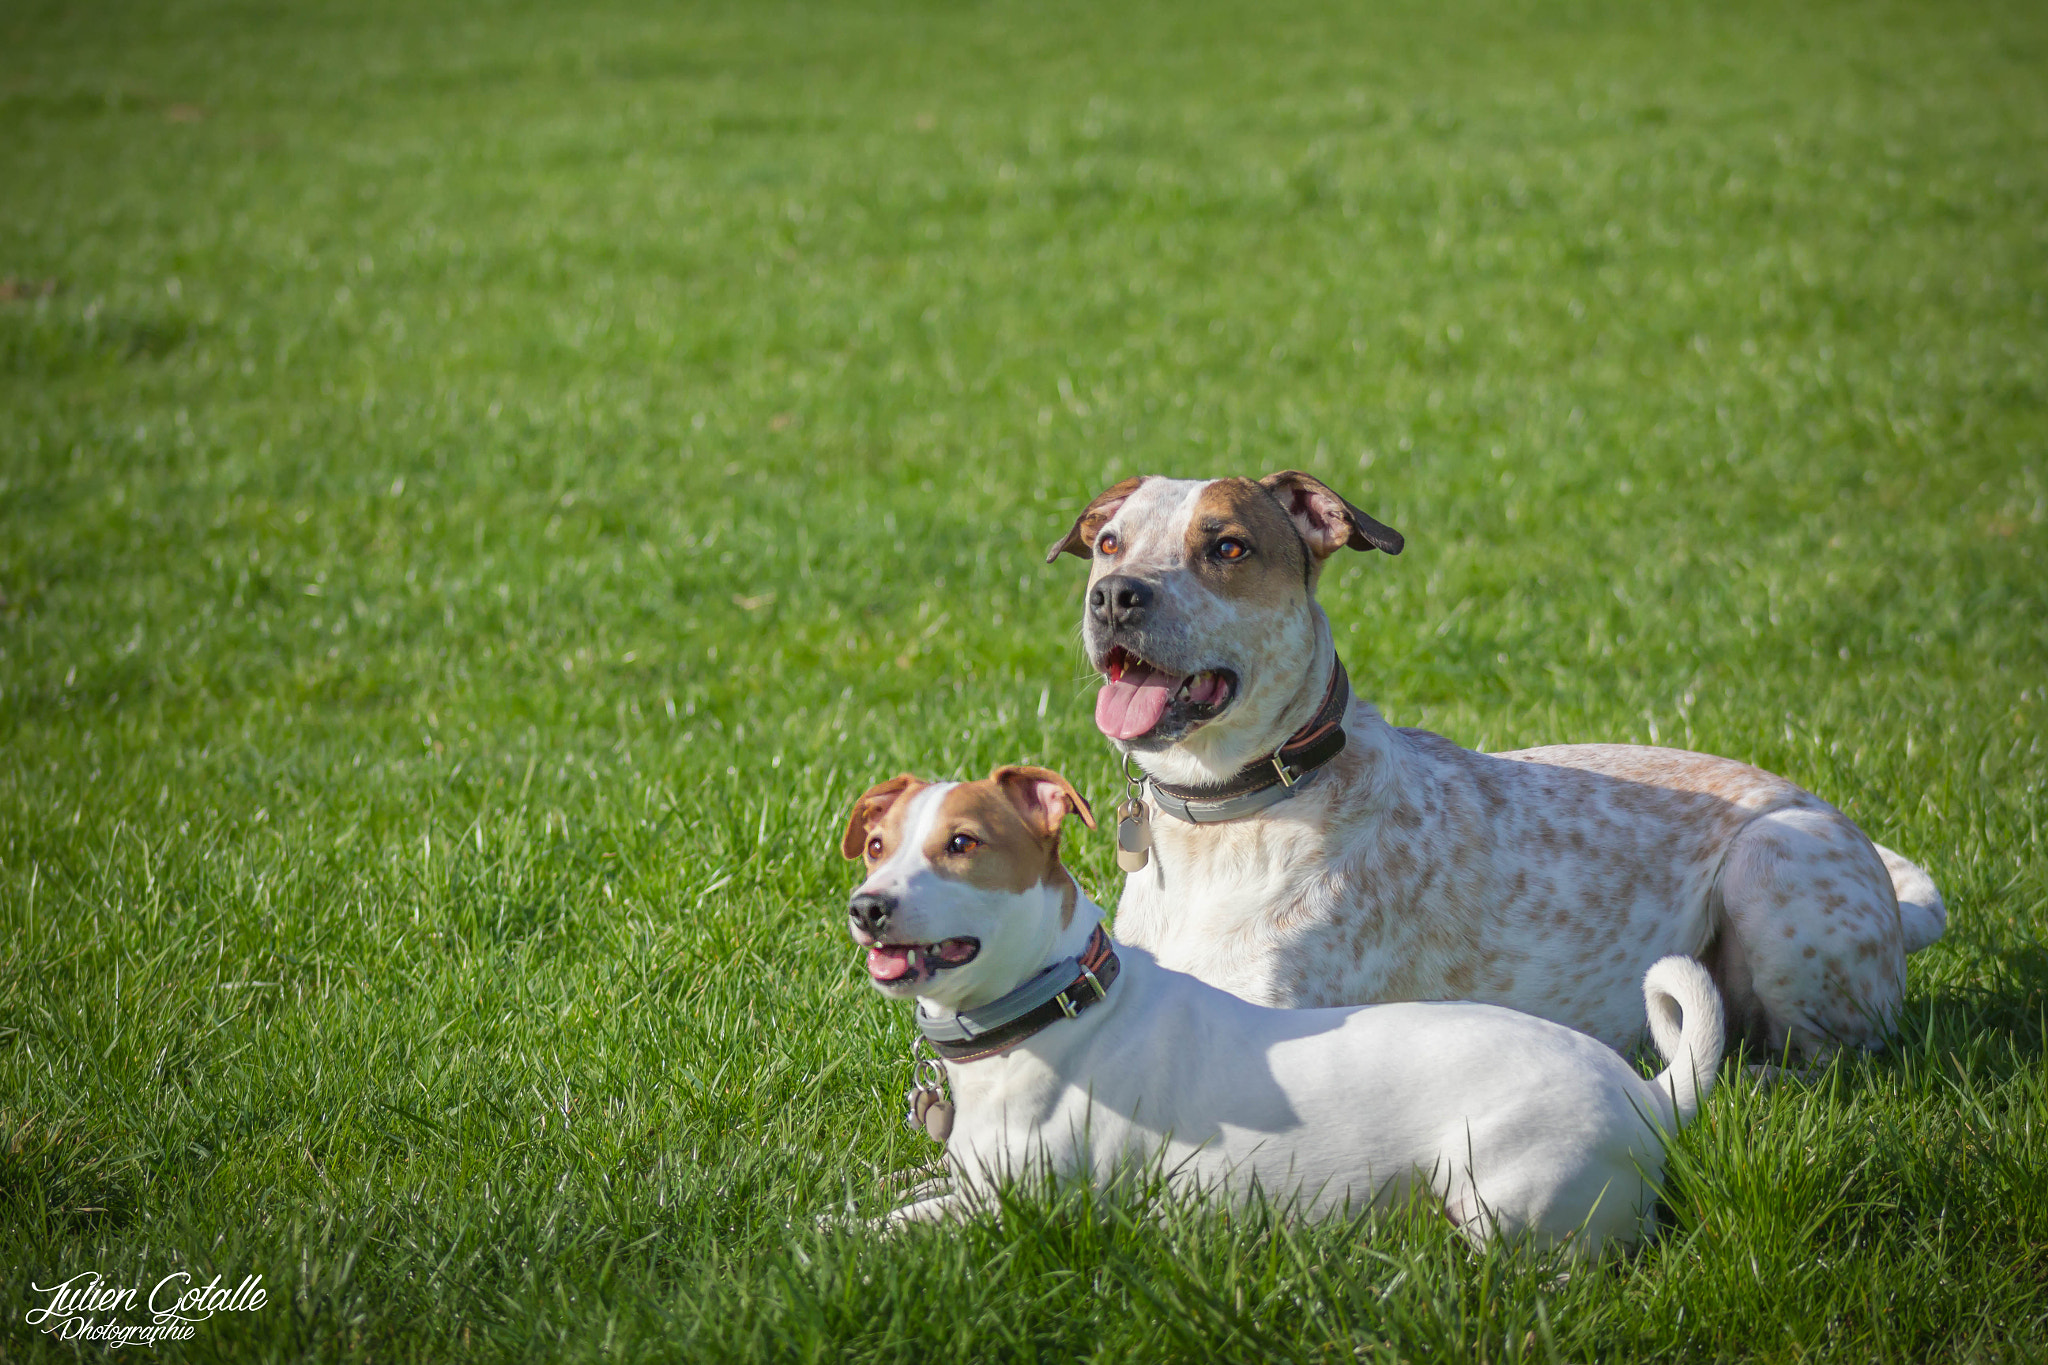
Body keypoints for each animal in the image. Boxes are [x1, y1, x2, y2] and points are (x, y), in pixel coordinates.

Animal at [843, 765, 1728, 1252]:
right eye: (877, 845)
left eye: (962, 844)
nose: (866, 906)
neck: (1056, 1005)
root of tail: (1646, 1093)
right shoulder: (968, 1179)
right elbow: (887, 1197)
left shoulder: (1010, 1212)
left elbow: (879, 1228)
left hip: (1501, 1191)